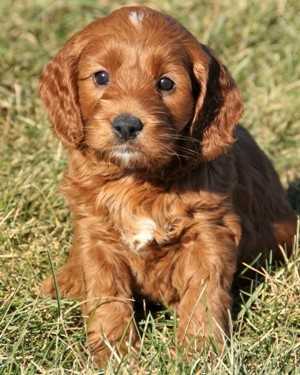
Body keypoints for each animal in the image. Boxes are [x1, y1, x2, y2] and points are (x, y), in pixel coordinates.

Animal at [38, 5, 296, 368]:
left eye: (166, 83)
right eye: (101, 77)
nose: (127, 125)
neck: (136, 180)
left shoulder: (209, 232)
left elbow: (203, 295)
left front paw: (200, 354)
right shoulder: (96, 234)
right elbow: (107, 295)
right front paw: (114, 355)